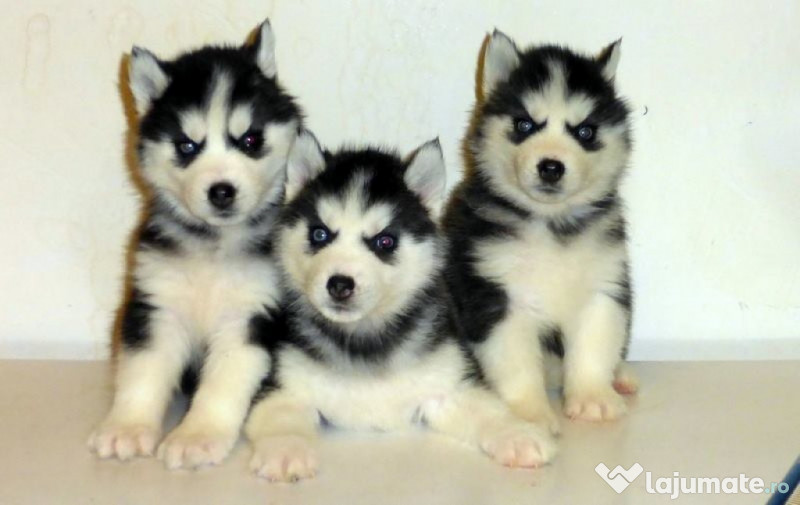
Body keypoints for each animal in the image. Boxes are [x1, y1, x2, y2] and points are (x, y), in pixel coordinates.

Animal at [86, 19, 300, 468]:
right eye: (187, 146)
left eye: (250, 140)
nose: (221, 191)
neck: (213, 247)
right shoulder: (156, 305)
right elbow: (142, 372)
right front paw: (128, 427)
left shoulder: (250, 317)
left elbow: (222, 385)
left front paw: (198, 436)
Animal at [244, 130, 556, 480]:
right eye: (320, 234)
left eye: (385, 241)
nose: (339, 284)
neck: (364, 337)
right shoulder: (280, 386)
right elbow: (280, 417)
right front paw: (285, 450)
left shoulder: (450, 384)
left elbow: (489, 410)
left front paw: (519, 434)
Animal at [444, 32, 636, 434]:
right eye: (525, 125)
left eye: (585, 131)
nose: (551, 166)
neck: (550, 222)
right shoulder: (496, 296)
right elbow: (515, 364)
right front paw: (527, 415)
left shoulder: (604, 282)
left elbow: (595, 344)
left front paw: (593, 397)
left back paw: (622, 376)